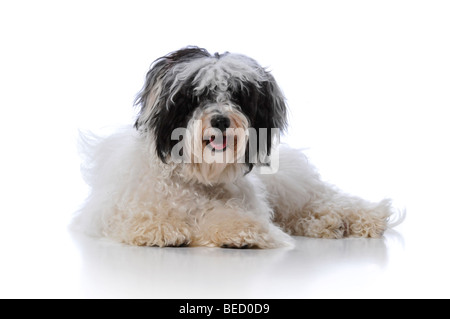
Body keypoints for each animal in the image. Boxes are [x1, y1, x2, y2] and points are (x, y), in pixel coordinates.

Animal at [72, 46, 402, 249]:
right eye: (196, 96)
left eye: (237, 95)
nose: (220, 120)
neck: (196, 180)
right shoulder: (116, 210)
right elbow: (145, 217)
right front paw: (162, 228)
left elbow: (231, 217)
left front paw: (240, 233)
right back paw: (329, 225)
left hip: (292, 187)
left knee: (328, 200)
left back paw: (359, 218)